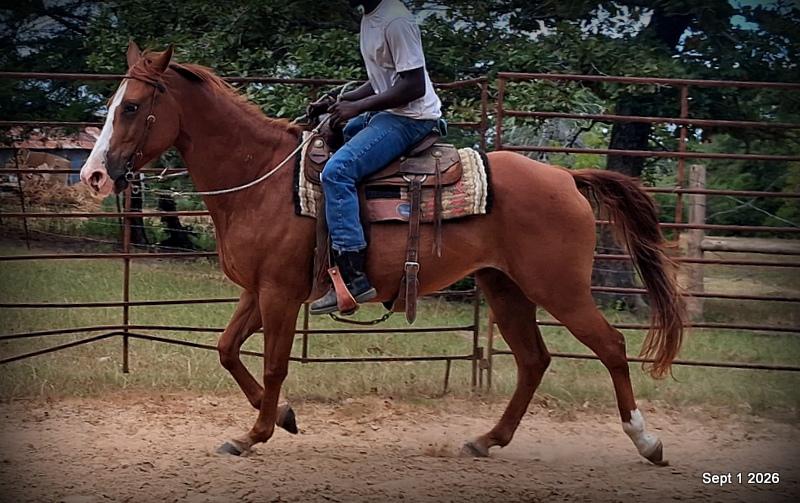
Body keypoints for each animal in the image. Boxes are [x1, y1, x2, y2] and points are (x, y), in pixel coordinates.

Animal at [79, 42, 685, 465]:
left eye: (131, 107)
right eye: (111, 105)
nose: (93, 176)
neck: (261, 178)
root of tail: (567, 177)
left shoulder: (279, 294)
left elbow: (273, 363)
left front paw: (255, 434)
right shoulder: (259, 289)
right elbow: (227, 350)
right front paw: (284, 417)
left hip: (559, 287)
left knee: (609, 346)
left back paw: (647, 441)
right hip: (505, 286)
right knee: (533, 359)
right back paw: (487, 440)